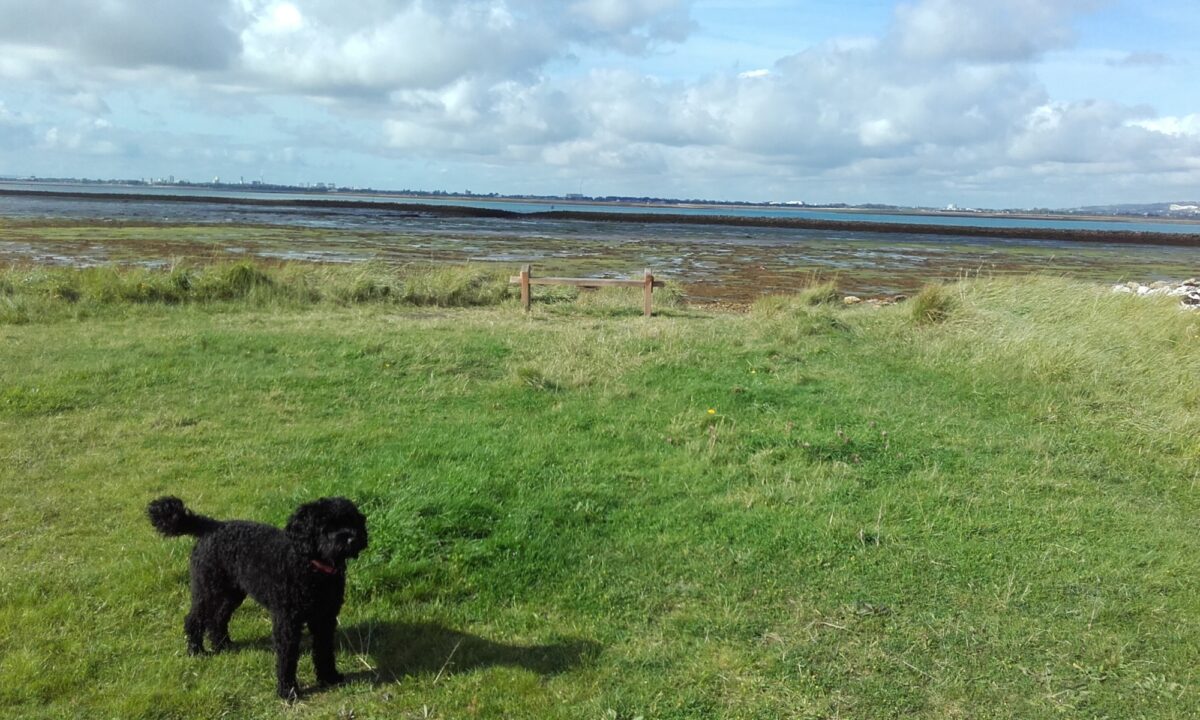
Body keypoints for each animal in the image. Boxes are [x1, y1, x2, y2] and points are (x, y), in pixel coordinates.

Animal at [147, 494, 367, 696]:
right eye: (326, 526)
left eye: (352, 521)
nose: (352, 538)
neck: (310, 568)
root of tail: (211, 526)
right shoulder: (287, 621)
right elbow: (287, 657)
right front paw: (287, 690)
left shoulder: (325, 618)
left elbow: (324, 650)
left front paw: (329, 677)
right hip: (207, 589)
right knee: (193, 619)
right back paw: (196, 650)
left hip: (232, 593)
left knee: (218, 618)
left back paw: (223, 644)